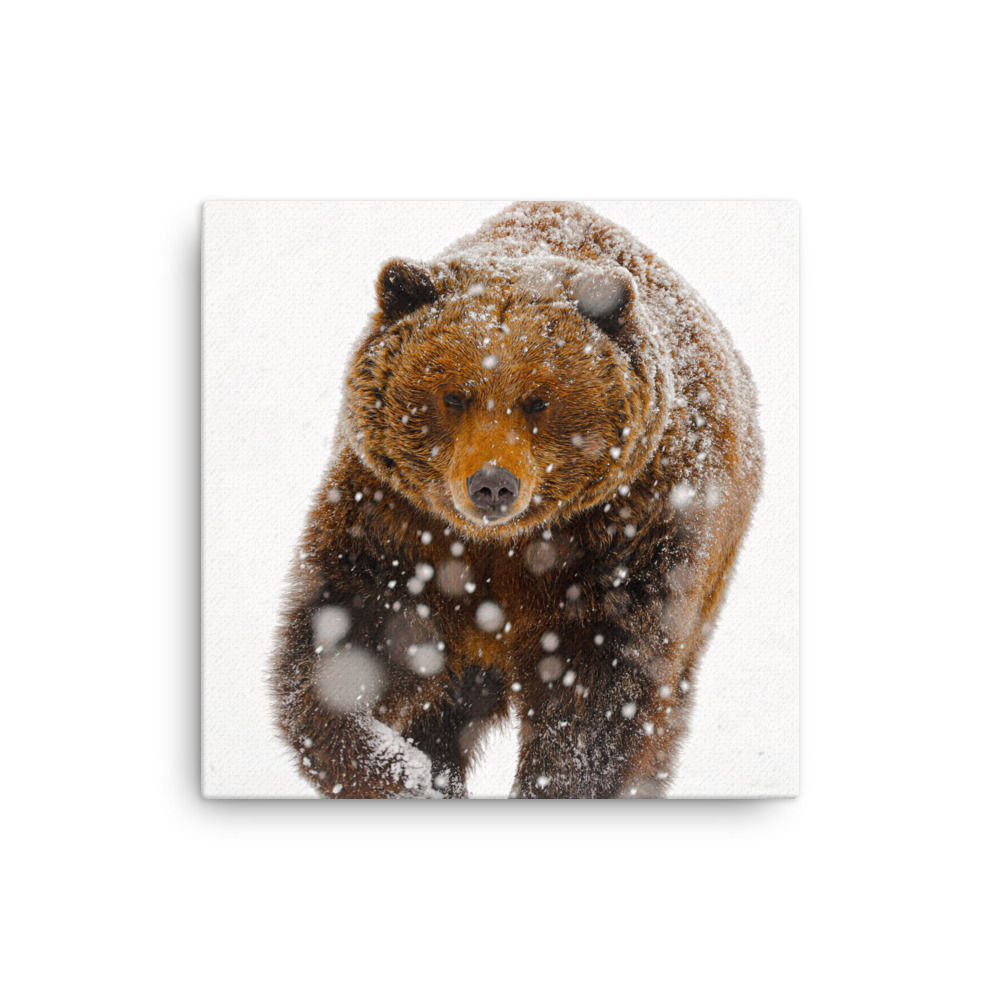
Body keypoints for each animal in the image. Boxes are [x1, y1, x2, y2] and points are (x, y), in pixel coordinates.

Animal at [271, 201, 763, 798]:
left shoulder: (622, 549)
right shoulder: (396, 527)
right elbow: (344, 652)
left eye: (538, 400)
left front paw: (549, 782)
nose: (492, 483)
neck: (504, 549)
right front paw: (408, 775)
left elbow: (595, 707)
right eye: (454, 394)